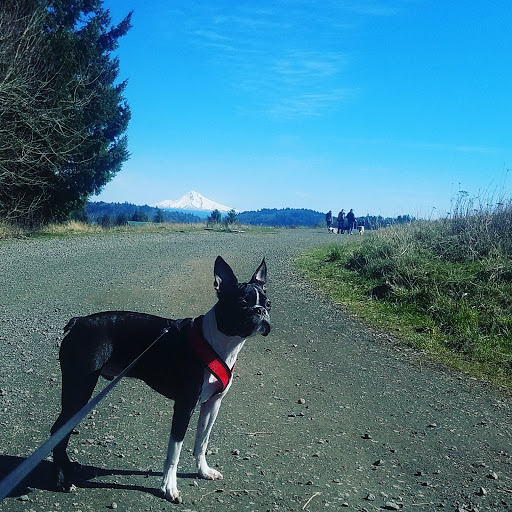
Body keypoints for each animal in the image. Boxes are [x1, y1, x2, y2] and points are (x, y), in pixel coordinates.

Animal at [49, 256, 270, 500]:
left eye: (269, 304)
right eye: (242, 303)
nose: (261, 311)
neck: (219, 342)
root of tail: (79, 322)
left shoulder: (213, 404)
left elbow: (202, 441)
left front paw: (203, 471)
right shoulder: (184, 406)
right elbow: (175, 450)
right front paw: (168, 486)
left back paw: (69, 467)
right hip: (79, 388)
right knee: (57, 430)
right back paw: (61, 482)